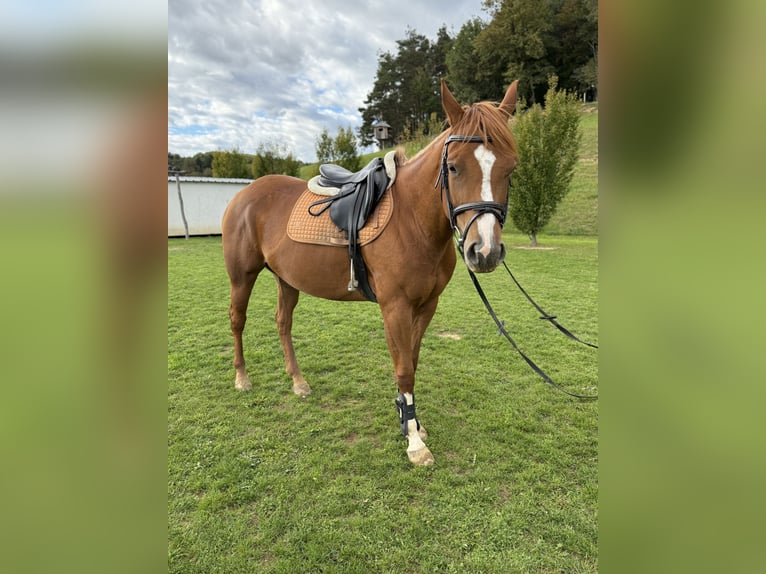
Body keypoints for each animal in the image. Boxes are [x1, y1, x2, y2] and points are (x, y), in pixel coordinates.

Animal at [222, 80, 519, 466]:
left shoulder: (426, 306)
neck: (412, 220)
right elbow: (404, 369)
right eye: (453, 167)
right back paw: (242, 378)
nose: (484, 251)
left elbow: (412, 361)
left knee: (282, 322)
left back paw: (298, 382)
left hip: (286, 279)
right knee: (237, 320)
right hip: (242, 275)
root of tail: (243, 193)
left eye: (510, 169)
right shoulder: (395, 307)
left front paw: (411, 422)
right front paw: (414, 443)